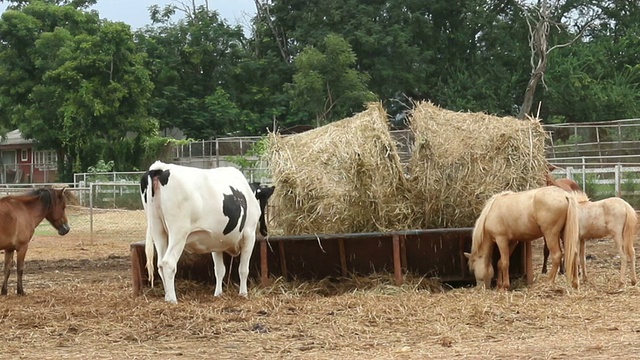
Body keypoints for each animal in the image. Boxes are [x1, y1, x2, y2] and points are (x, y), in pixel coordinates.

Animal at [139, 162, 262, 302]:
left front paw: (218, 294)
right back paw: (172, 300)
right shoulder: (249, 234)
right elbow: (243, 269)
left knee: (160, 264)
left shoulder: (216, 241)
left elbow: (219, 270)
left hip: (158, 230)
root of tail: (161, 167)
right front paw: (243, 294)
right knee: (168, 263)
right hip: (178, 233)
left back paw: (167, 297)